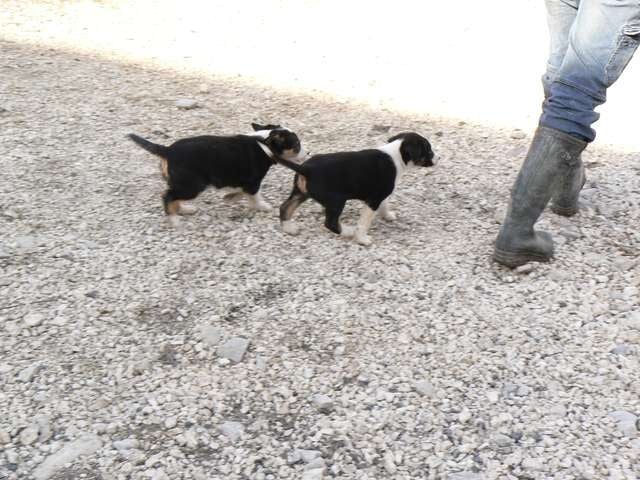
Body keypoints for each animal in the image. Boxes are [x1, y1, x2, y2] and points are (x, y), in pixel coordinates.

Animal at [127, 122, 308, 218]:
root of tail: (167, 150)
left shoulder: (243, 181)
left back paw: (184, 210)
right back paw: (173, 219)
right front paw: (262, 206)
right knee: (168, 195)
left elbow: (241, 192)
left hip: (182, 184)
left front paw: (230, 197)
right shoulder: (253, 181)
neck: (264, 143)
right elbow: (255, 196)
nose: (308, 153)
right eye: (297, 145)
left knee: (172, 196)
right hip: (192, 185)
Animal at [276, 131, 436, 246]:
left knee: (285, 207)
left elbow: (385, 205)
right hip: (337, 201)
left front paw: (388, 215)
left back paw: (289, 228)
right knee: (331, 223)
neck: (396, 154)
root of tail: (305, 169)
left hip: (300, 193)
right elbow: (364, 222)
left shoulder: (380, 195)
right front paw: (362, 239)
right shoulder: (374, 200)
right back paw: (348, 231)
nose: (438, 158)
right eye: (428, 150)